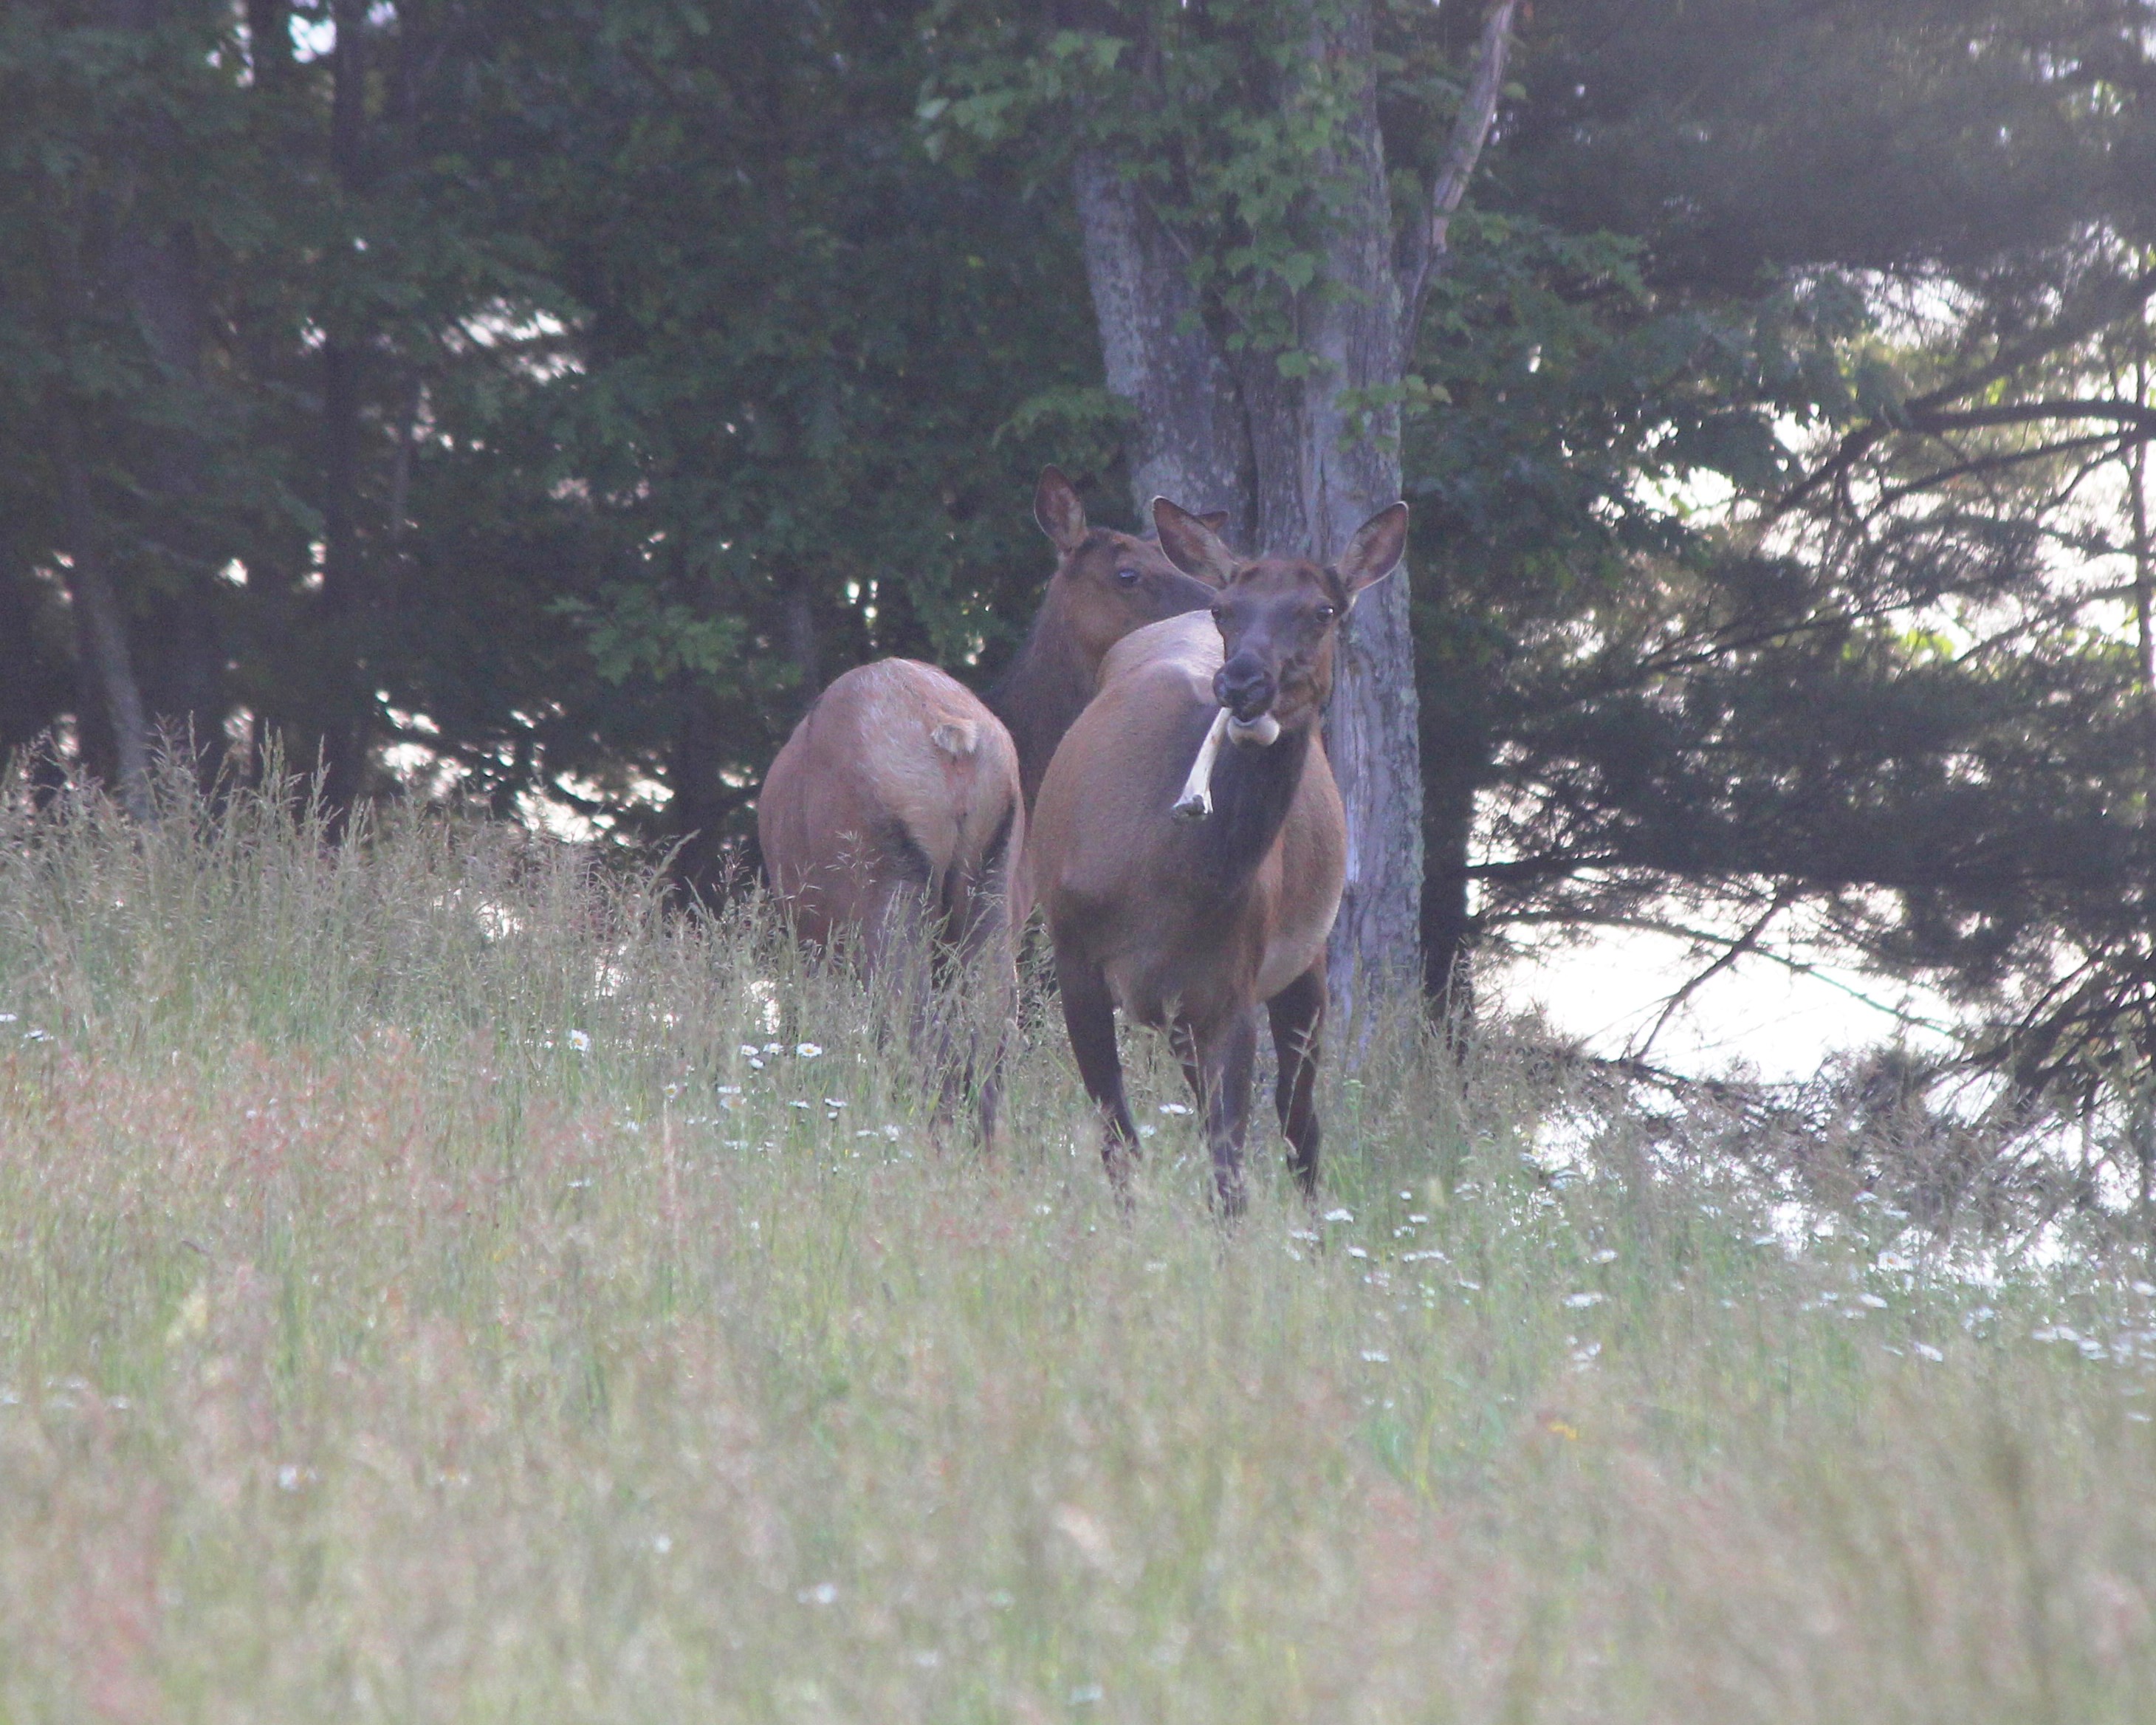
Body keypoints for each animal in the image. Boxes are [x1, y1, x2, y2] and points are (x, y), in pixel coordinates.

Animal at [1030, 491, 1414, 1207]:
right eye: (1225, 609)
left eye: (1323, 611)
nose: (1241, 682)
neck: (1161, 876)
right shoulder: (1075, 959)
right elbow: (1119, 1144)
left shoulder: (1232, 985)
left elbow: (1230, 1166)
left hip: (1303, 963)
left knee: (1299, 1121)